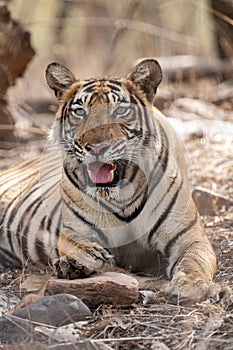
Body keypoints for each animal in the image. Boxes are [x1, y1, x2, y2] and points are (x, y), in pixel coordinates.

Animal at [0, 59, 218, 300]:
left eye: (120, 110)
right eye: (80, 112)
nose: (96, 147)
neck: (122, 195)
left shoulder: (188, 235)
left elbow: (194, 260)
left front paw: (191, 284)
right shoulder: (73, 232)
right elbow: (84, 250)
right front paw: (79, 261)